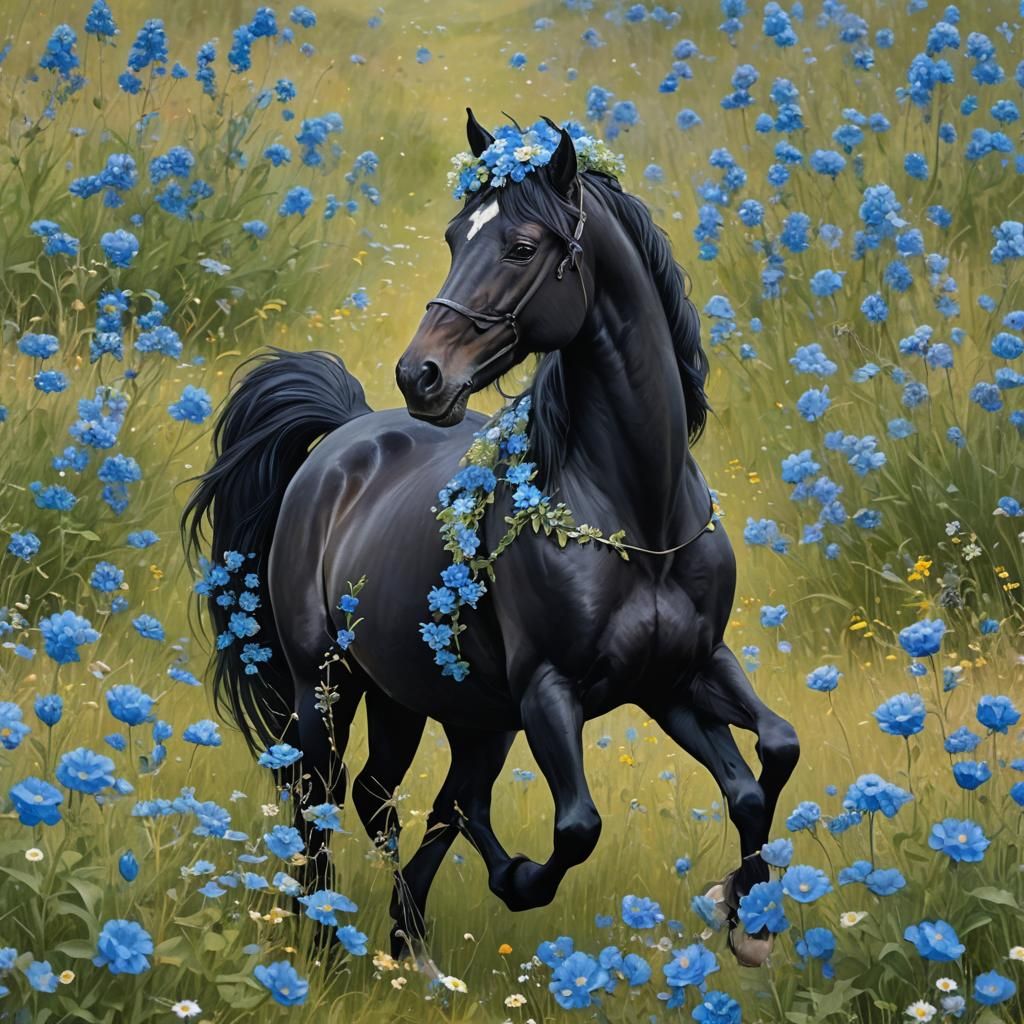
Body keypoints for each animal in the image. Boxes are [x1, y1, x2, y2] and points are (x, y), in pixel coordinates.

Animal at [183, 109, 799, 970]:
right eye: (453, 236)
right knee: (326, 797)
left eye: (521, 246)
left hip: (436, 702)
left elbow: (767, 759)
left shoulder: (679, 672)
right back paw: (328, 940)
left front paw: (745, 915)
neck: (636, 514)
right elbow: (576, 828)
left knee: (398, 798)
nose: (421, 375)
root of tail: (345, 436)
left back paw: (411, 948)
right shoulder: (550, 689)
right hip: (330, 685)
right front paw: (519, 879)